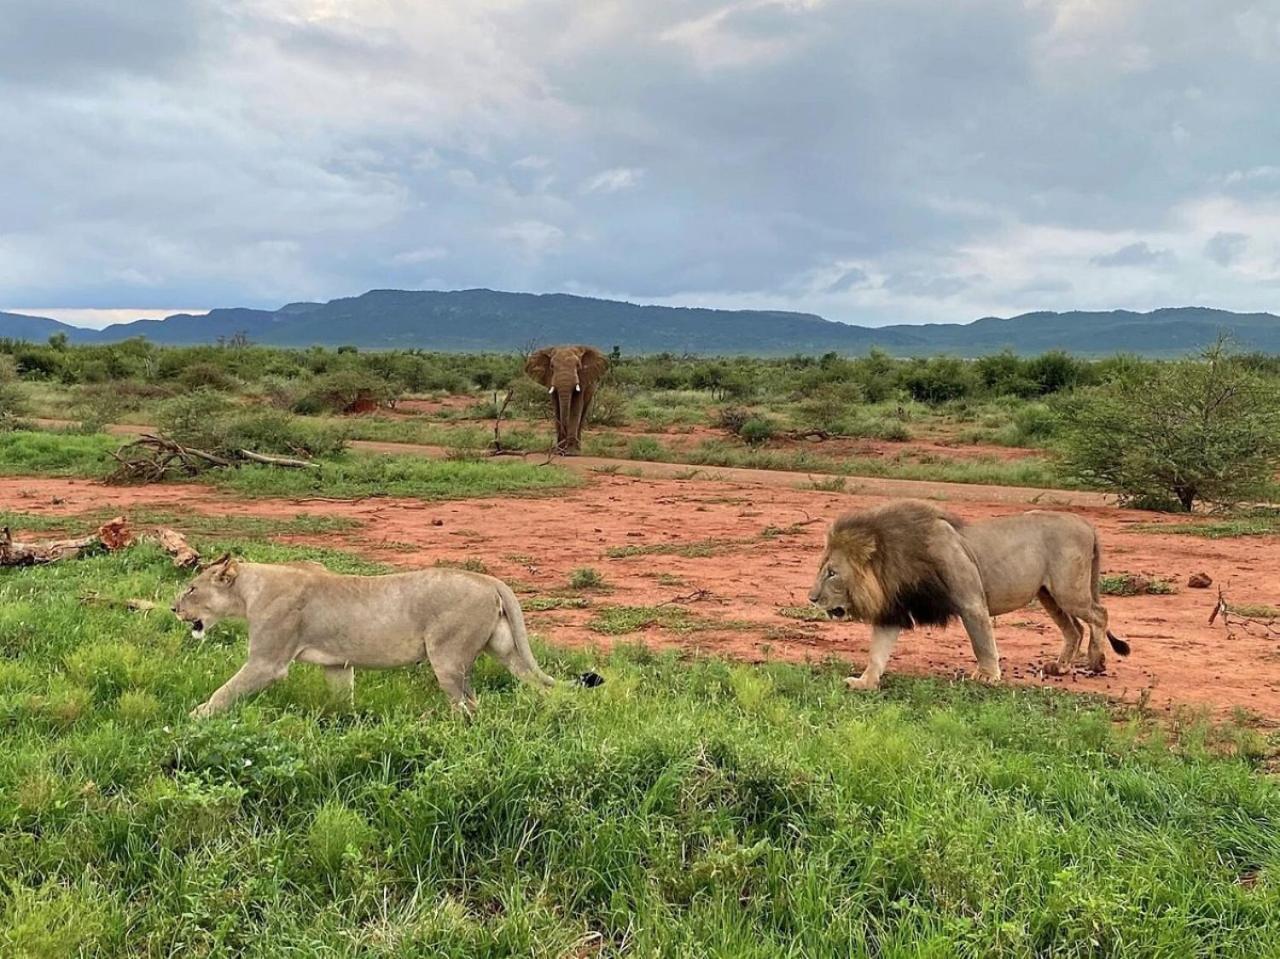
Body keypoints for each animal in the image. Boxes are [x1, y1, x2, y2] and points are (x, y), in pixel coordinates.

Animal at [171, 553, 604, 717]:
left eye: (191, 588)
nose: (174, 608)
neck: (250, 590)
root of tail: (490, 580)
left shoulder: (267, 662)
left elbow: (224, 691)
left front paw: (193, 718)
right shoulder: (337, 665)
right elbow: (342, 699)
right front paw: (344, 725)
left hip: (447, 656)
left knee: (468, 705)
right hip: (506, 650)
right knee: (540, 685)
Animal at [808, 501, 1131, 686]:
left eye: (832, 573)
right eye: (824, 569)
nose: (811, 598)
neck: (896, 559)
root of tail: (1087, 523)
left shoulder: (971, 601)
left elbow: (981, 642)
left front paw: (987, 676)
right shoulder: (895, 609)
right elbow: (877, 652)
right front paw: (864, 682)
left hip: (1068, 590)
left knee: (1100, 614)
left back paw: (1096, 660)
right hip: (1048, 595)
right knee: (1075, 628)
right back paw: (1061, 667)